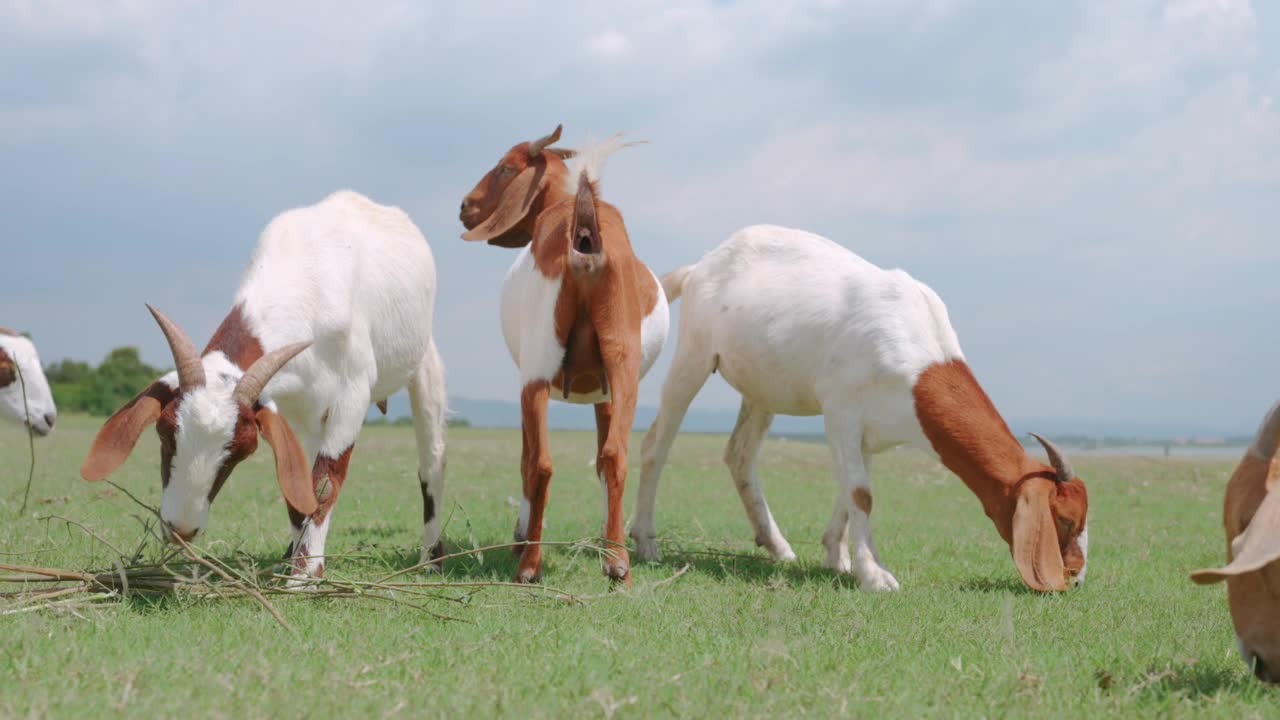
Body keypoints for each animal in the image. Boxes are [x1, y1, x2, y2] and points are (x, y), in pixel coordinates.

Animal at [81, 190, 450, 576]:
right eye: (166, 433)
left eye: (239, 452)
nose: (181, 529)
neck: (306, 281)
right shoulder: (284, 405)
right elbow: (295, 484)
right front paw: (295, 562)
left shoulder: (352, 396)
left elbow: (323, 483)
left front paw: (305, 575)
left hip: (423, 365)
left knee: (431, 464)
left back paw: (431, 559)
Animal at [458, 122, 670, 584]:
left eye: (506, 167)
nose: (465, 206)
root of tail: (585, 234)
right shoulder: (606, 392)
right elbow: (604, 457)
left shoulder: (528, 380)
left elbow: (527, 459)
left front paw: (519, 537)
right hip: (623, 367)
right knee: (614, 455)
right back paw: (617, 562)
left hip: (537, 371)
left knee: (540, 463)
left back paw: (529, 565)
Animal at [629, 224, 1090, 589]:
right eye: (1065, 519)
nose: (1075, 577)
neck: (916, 348)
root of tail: (701, 267)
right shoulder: (841, 414)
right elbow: (861, 494)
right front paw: (875, 575)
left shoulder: (870, 434)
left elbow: (848, 493)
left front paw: (839, 558)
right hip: (693, 357)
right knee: (656, 445)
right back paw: (646, 542)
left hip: (762, 389)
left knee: (740, 455)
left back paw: (778, 547)